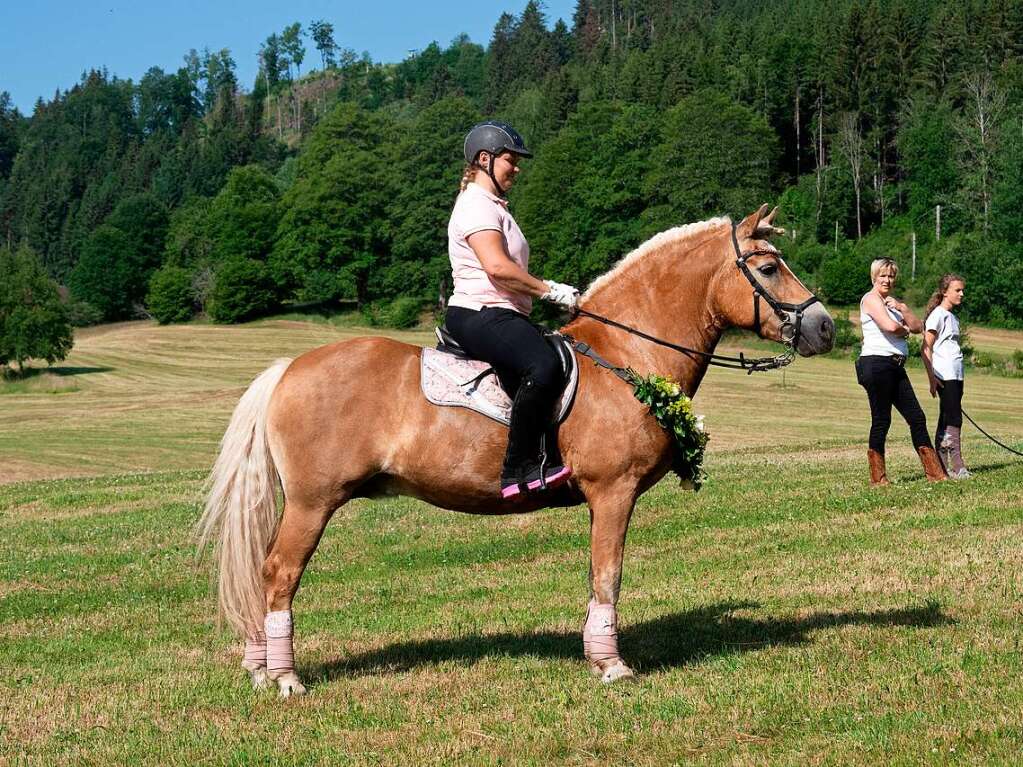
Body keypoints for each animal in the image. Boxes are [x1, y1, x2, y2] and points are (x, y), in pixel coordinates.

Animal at [195, 204, 834, 695]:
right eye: (769, 267)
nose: (824, 327)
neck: (626, 356)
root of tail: (287, 369)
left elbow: (600, 576)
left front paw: (598, 655)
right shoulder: (614, 492)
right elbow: (608, 574)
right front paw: (612, 666)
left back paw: (260, 667)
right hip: (312, 502)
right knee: (279, 572)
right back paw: (284, 677)